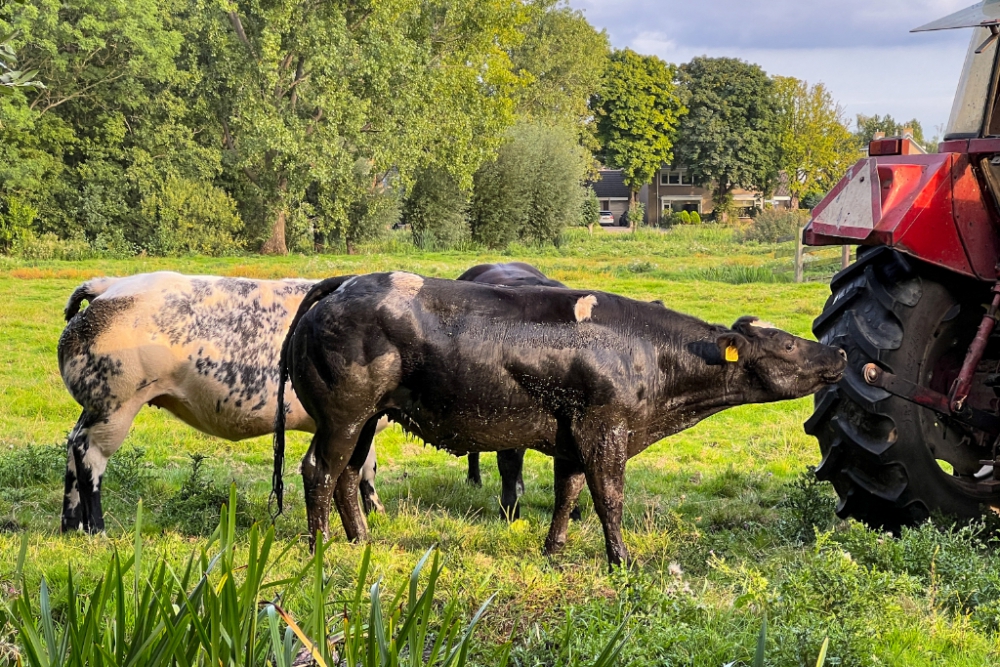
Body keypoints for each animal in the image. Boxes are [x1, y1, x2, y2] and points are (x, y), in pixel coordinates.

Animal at [55, 272, 386, 532]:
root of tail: (109, 285)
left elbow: (366, 465)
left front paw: (375, 511)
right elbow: (360, 467)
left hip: (95, 406)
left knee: (72, 445)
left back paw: (71, 525)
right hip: (114, 403)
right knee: (89, 454)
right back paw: (96, 529)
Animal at [274, 274, 844, 568]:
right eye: (786, 344)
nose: (837, 353)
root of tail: (343, 283)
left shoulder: (573, 436)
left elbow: (568, 493)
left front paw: (554, 549)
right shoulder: (604, 429)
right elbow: (608, 497)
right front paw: (621, 561)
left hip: (368, 417)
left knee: (348, 473)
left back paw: (361, 541)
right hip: (343, 414)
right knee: (319, 471)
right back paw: (320, 548)